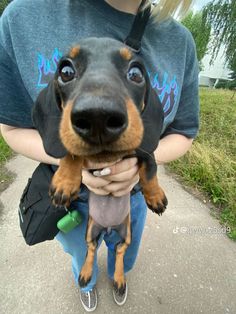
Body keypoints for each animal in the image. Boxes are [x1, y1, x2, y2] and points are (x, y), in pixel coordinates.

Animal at [32, 36, 167, 294]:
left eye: (136, 73)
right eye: (65, 71)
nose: (98, 117)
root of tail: (108, 228)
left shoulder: (145, 151)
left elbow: (150, 171)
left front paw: (156, 196)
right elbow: (72, 154)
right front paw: (64, 182)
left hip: (127, 233)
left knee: (120, 251)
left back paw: (119, 278)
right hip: (90, 229)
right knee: (91, 249)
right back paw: (86, 273)